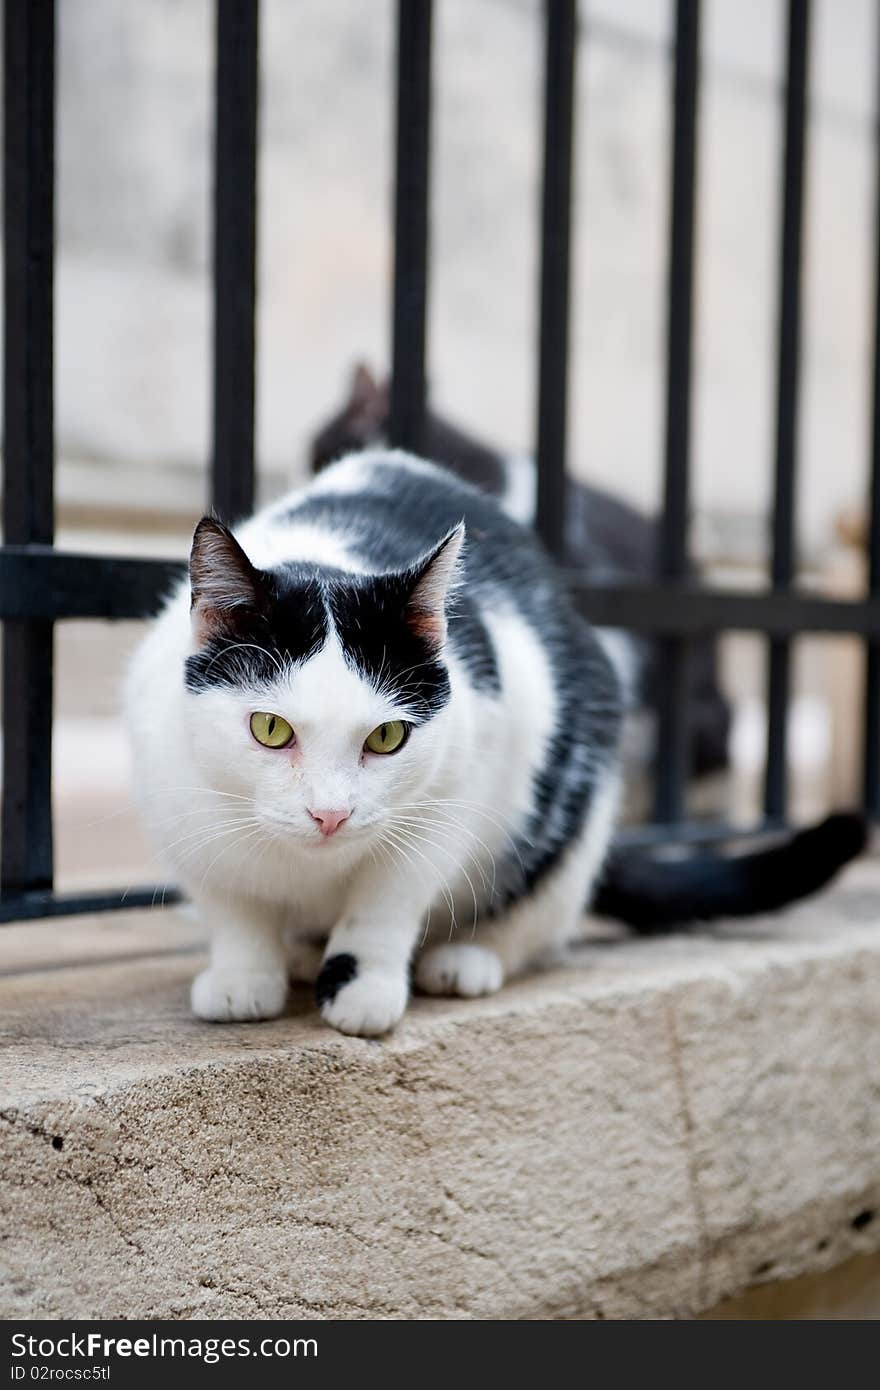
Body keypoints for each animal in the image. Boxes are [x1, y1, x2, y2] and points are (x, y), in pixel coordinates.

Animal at [127, 450, 861, 1039]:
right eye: (271, 729)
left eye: (387, 736)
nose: (330, 814)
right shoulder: (179, 809)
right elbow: (232, 906)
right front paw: (244, 975)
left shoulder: (453, 796)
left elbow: (385, 902)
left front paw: (362, 986)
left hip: (575, 803)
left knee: (540, 913)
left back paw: (467, 958)